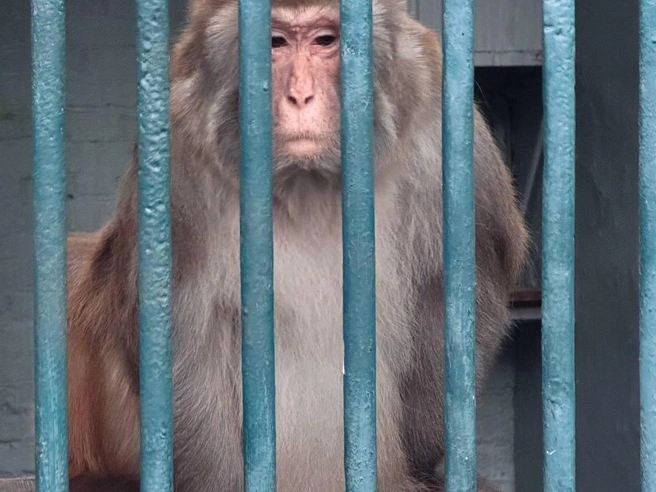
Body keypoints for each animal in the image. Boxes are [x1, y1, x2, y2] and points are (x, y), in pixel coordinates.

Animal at [63, 0, 529, 490]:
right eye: (275, 42)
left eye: (325, 40)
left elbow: (454, 301)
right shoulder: (178, 165)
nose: (300, 96)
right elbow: (183, 331)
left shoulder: (443, 134)